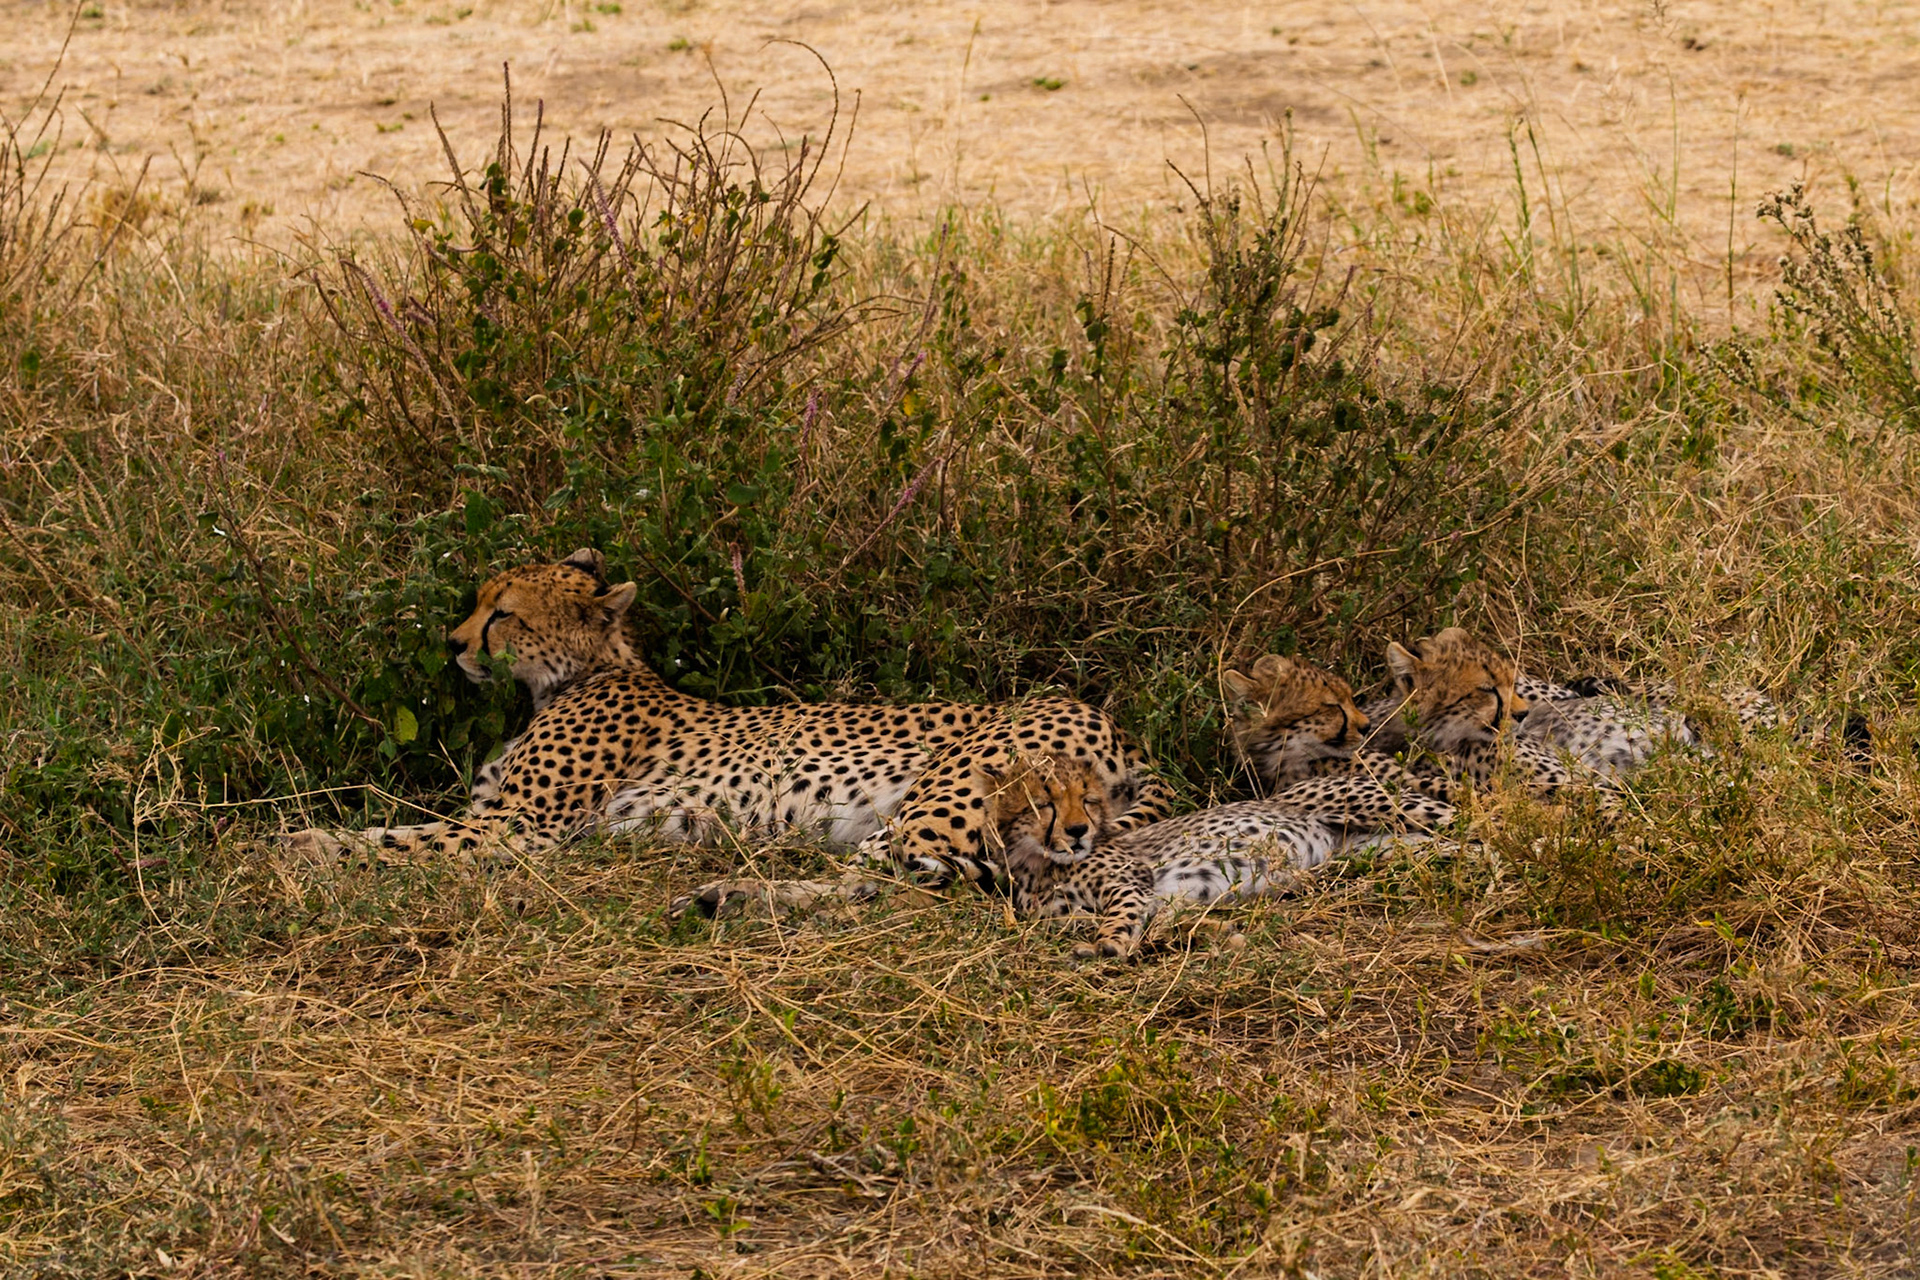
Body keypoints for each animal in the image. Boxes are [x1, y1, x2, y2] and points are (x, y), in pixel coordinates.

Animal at [281, 548, 1172, 884]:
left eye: (502, 613)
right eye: (477, 600)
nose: (454, 643)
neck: (578, 675)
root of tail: (1107, 719)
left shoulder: (517, 829)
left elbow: (403, 840)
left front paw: (302, 846)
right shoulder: (497, 817)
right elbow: (407, 827)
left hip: (944, 799)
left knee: (889, 879)